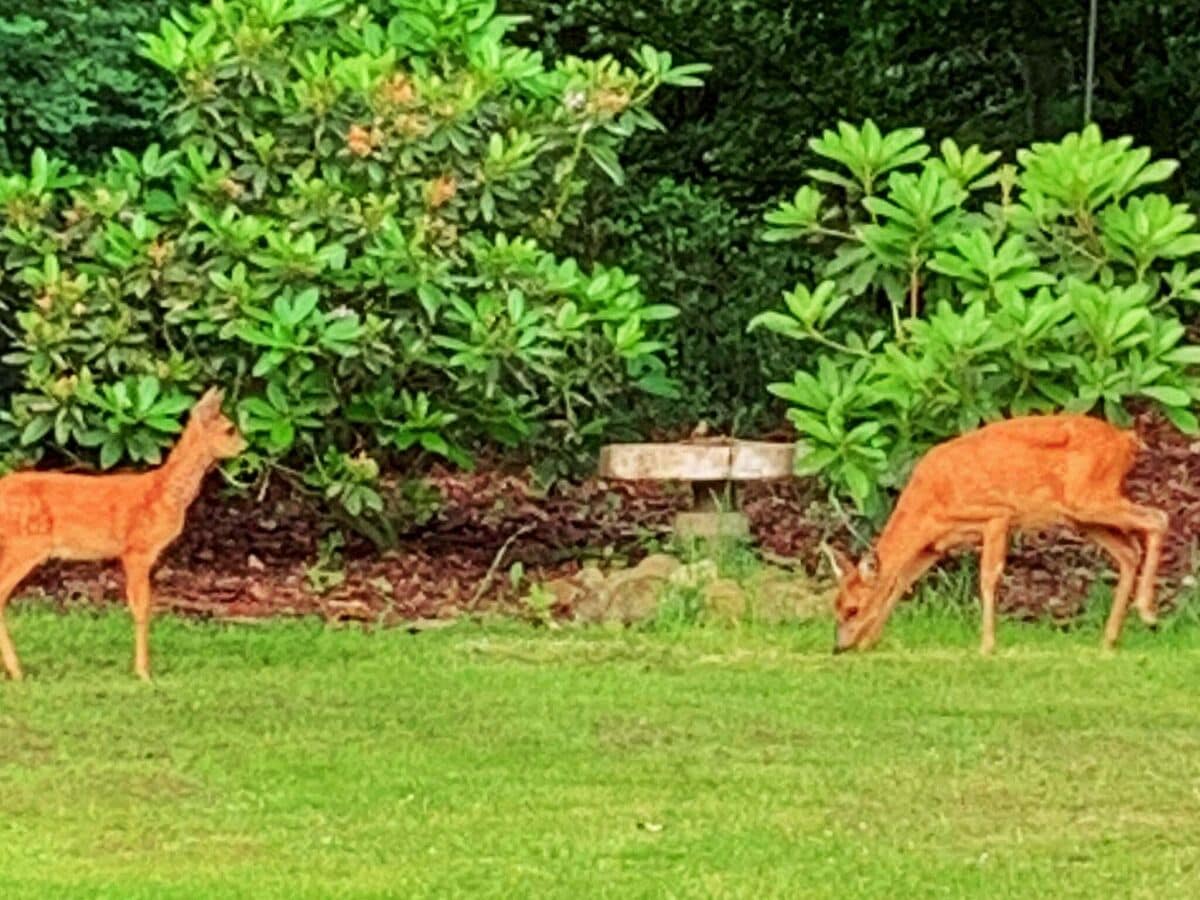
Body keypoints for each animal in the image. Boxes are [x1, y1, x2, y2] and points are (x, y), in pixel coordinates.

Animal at [0, 388, 243, 681]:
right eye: (230, 429)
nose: (245, 447)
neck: (163, 492)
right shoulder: (137, 549)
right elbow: (141, 607)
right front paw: (143, 673)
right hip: (24, 544)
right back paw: (17, 671)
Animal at [830, 415, 1166, 657]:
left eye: (853, 608)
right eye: (836, 606)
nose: (838, 647)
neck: (929, 501)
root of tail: (1126, 440)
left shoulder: (996, 515)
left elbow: (988, 578)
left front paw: (987, 645)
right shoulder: (934, 545)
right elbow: (902, 580)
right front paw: (869, 642)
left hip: (1091, 498)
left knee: (1158, 518)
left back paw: (1147, 613)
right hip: (1082, 513)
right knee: (1129, 550)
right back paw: (1110, 639)